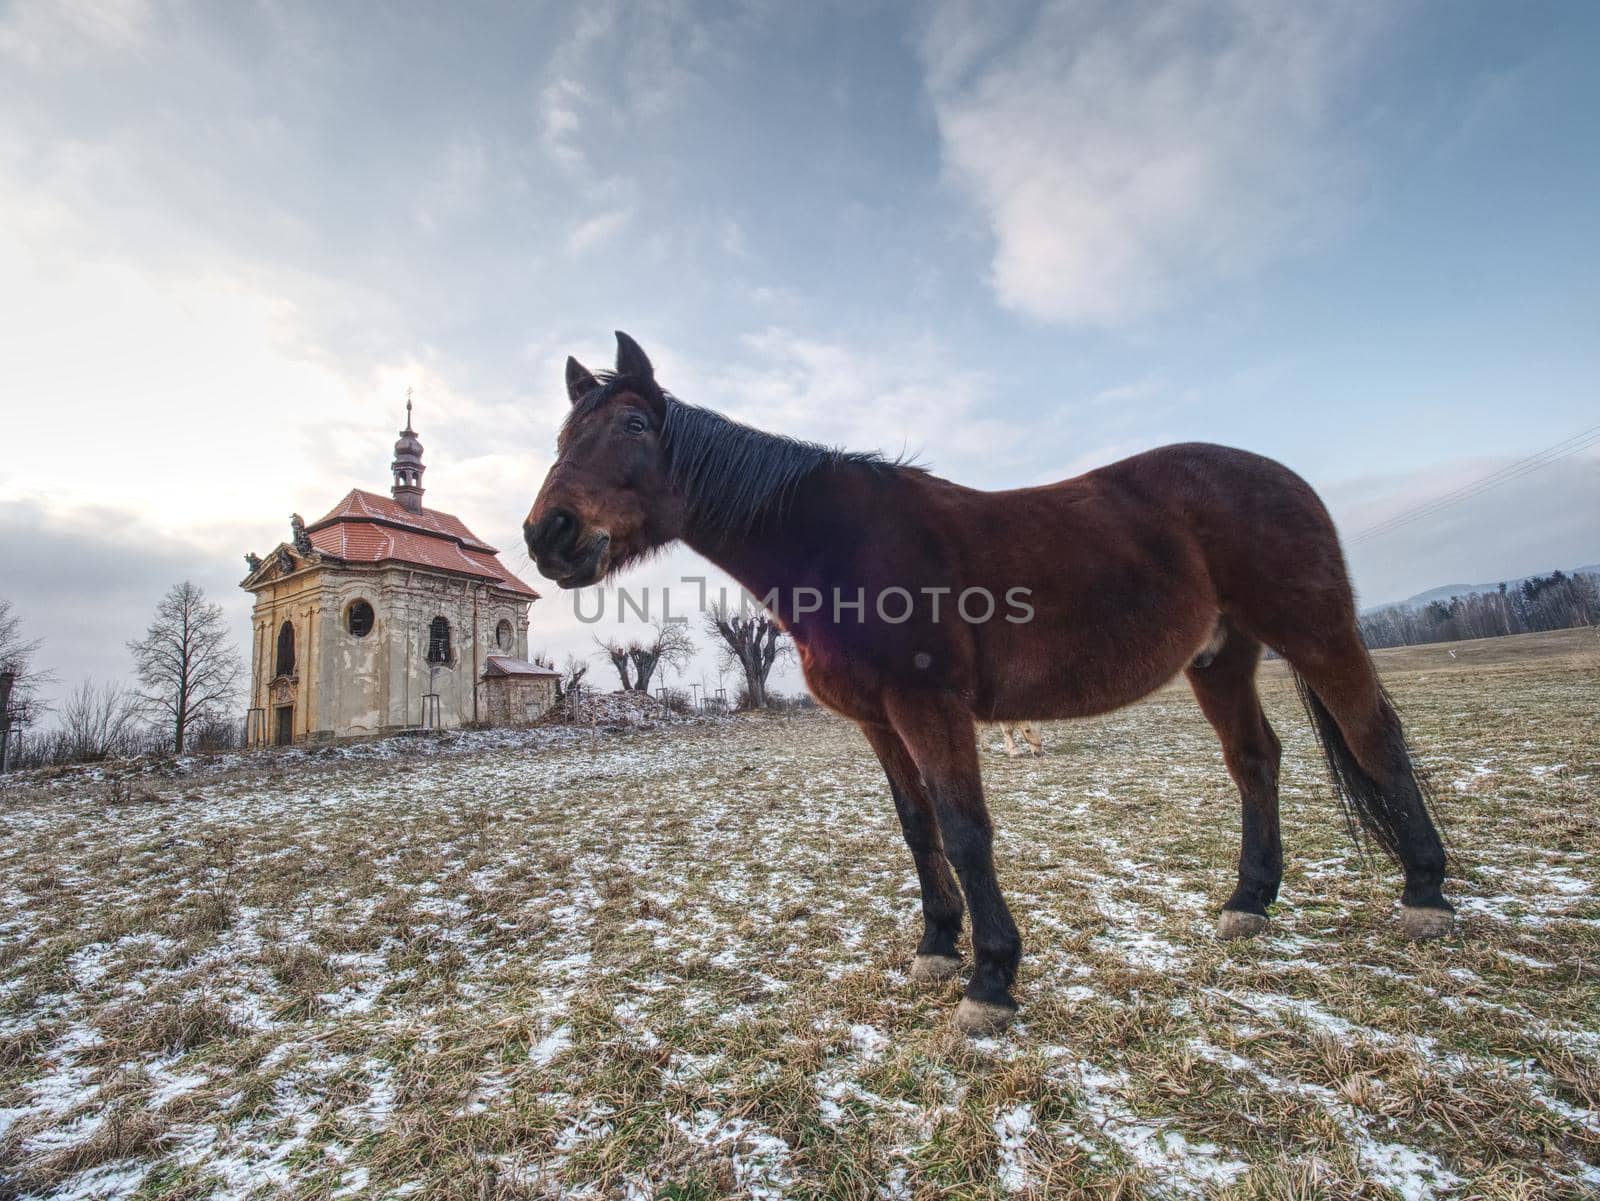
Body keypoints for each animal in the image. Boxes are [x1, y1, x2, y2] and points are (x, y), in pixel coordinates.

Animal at [524, 334, 1452, 1036]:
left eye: (634, 422)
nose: (548, 534)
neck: (839, 544)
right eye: (564, 437)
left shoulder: (930, 707)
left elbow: (967, 830)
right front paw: (938, 946)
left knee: (1374, 738)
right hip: (1221, 656)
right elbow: (917, 826)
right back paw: (1250, 901)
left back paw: (1426, 894)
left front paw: (991, 979)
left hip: (1316, 633)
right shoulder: (878, 720)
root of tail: (1280, 476)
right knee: (1255, 760)